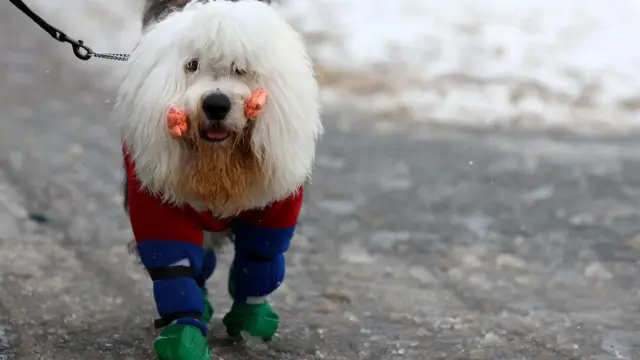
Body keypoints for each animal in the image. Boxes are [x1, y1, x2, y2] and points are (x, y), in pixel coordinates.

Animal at [112, 1, 322, 358]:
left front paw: (251, 319)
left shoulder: (272, 212)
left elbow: (258, 261)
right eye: (192, 65)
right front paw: (183, 336)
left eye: (241, 69)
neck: (218, 167)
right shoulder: (159, 209)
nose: (215, 104)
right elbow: (176, 270)